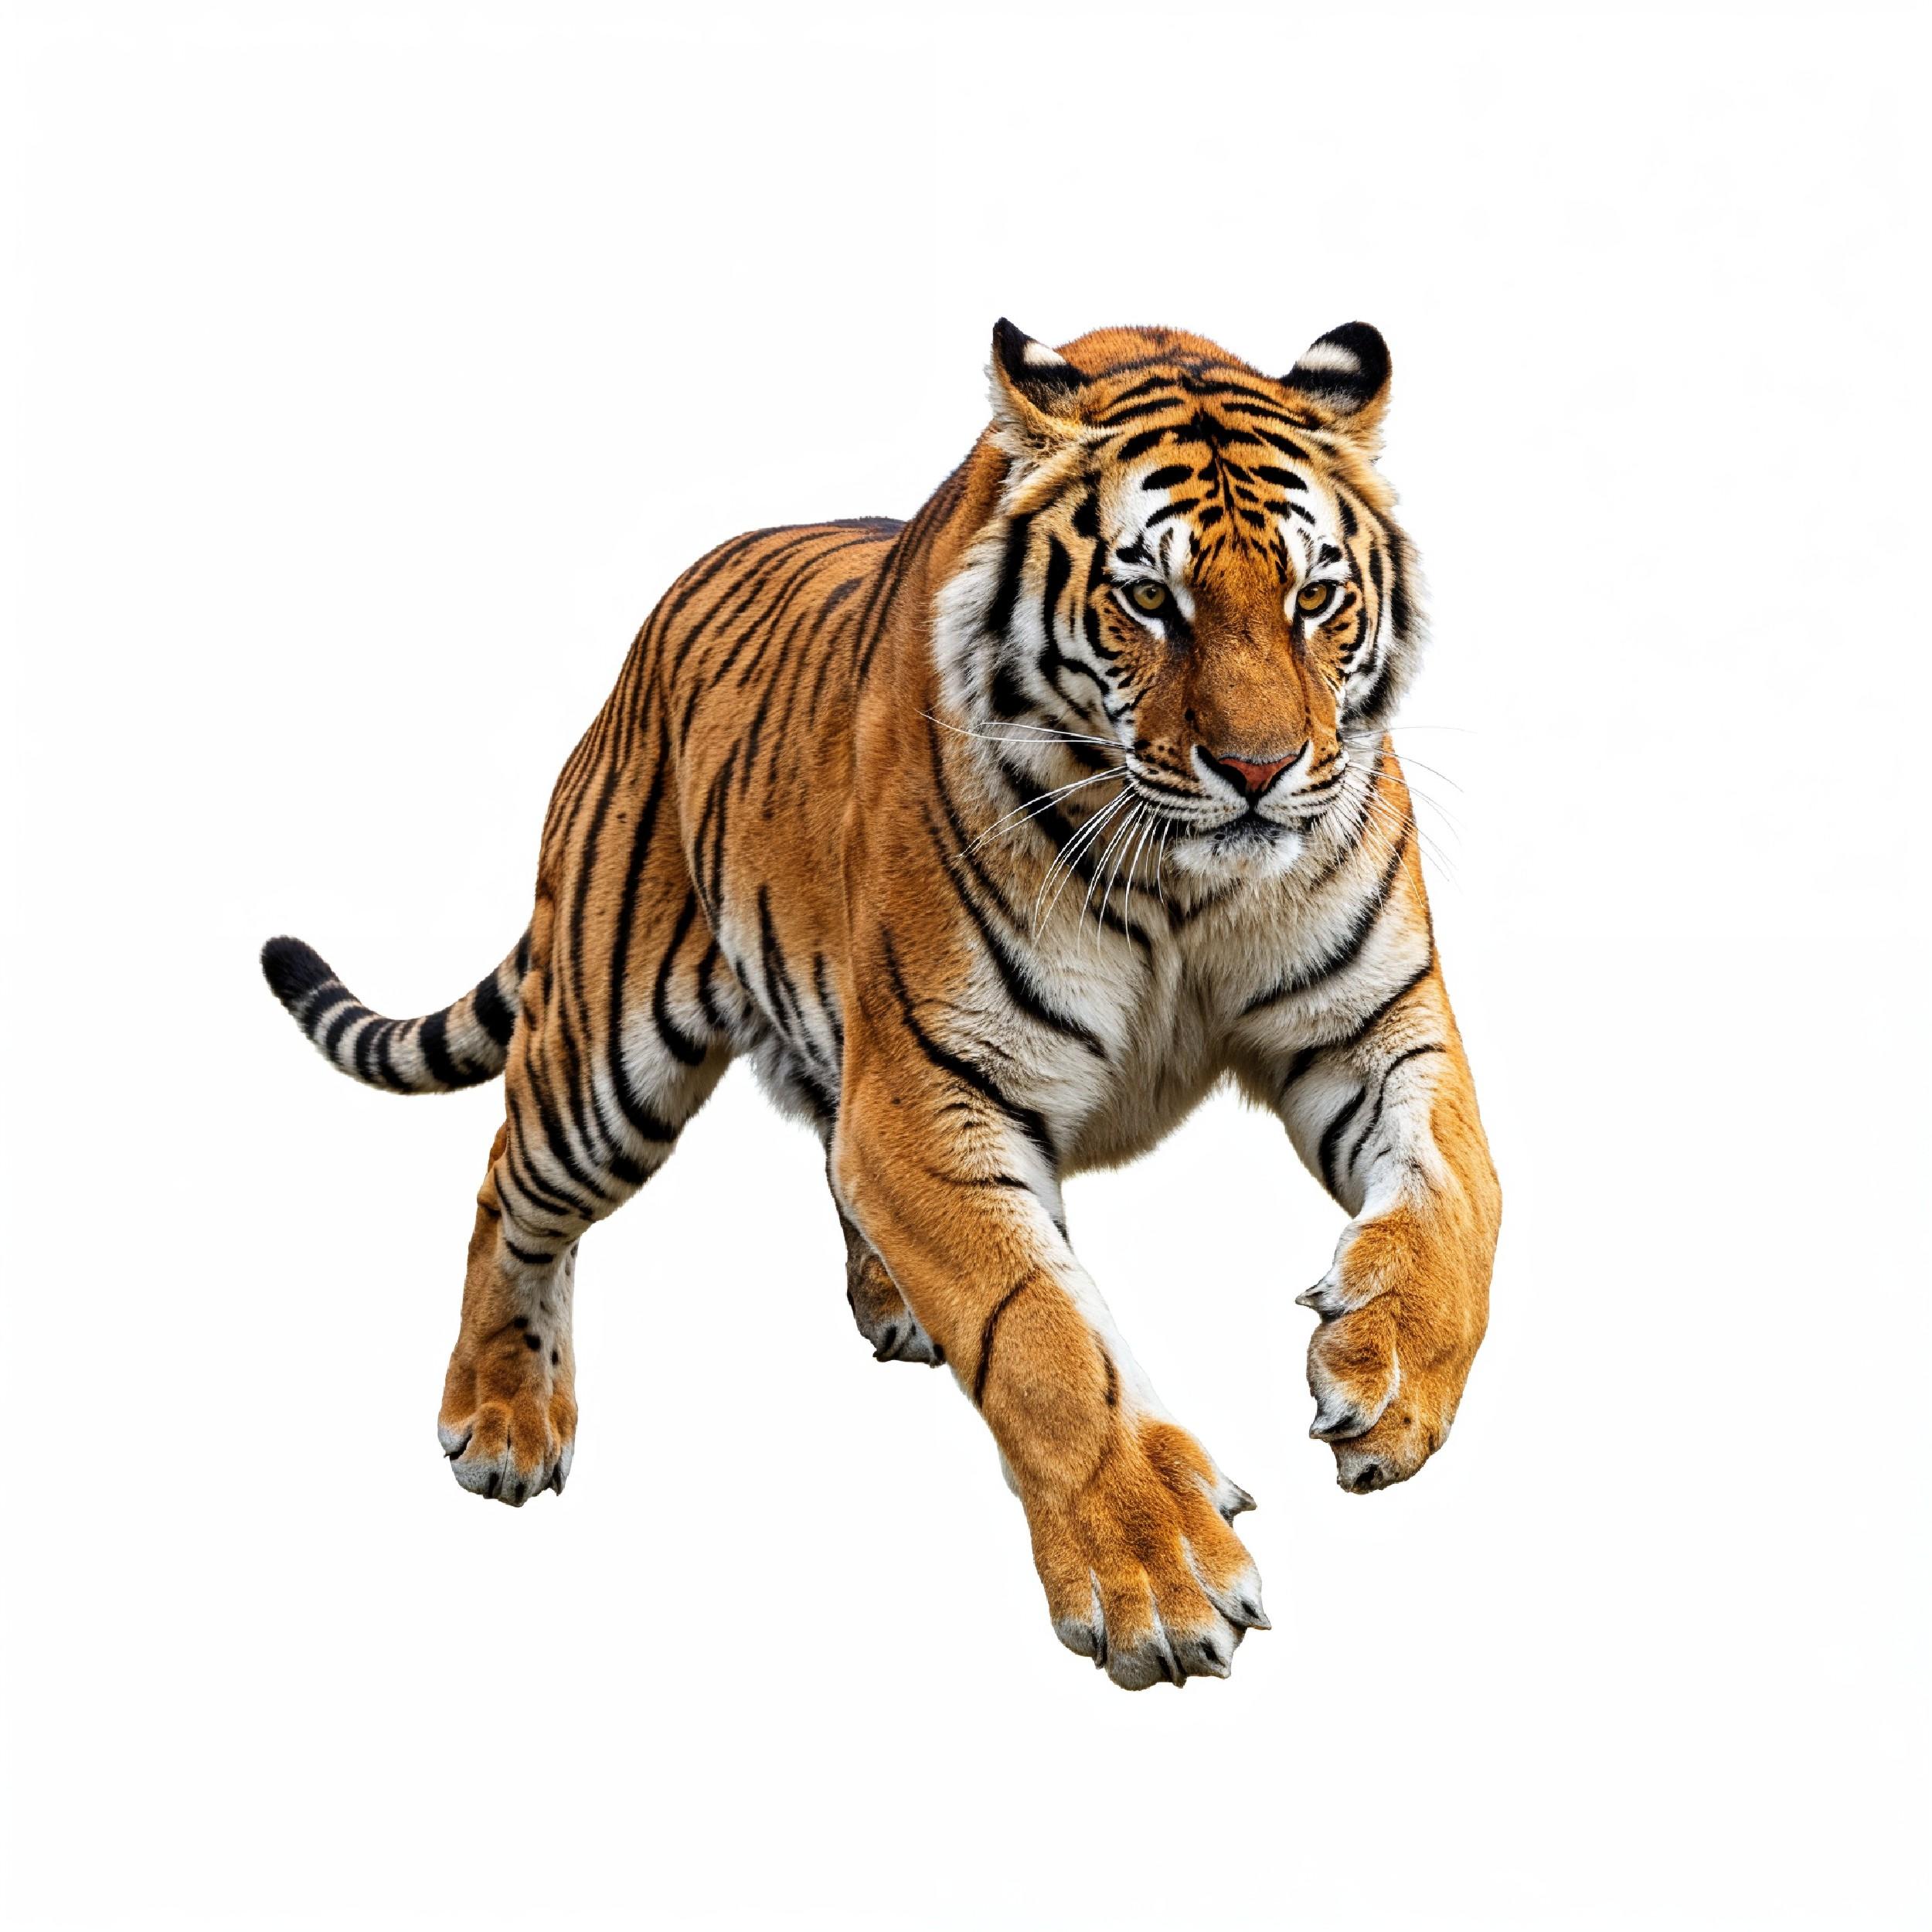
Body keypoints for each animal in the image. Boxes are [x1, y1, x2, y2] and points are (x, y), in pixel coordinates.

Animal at [261, 319, 1501, 1690]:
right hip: (602, 1056)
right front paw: (1156, 1574)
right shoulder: (929, 1098)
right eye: (1147, 600)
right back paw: (499, 1418)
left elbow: (1463, 1199)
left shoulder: (1381, 1027)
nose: (1261, 770)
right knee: (507, 1188)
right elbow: (1044, 1339)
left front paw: (1390, 1378)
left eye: (1315, 598)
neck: (1185, 885)